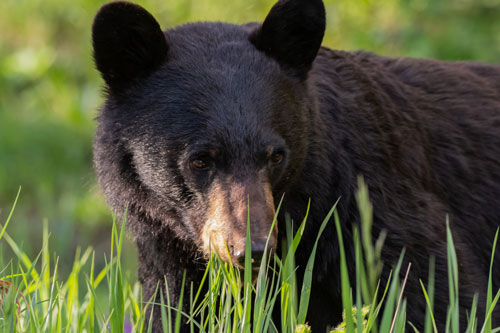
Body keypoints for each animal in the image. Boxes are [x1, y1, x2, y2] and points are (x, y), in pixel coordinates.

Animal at [92, 0, 500, 330]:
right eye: (200, 160)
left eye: (276, 155)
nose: (252, 250)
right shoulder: (169, 252)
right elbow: (177, 312)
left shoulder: (375, 211)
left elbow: (441, 298)